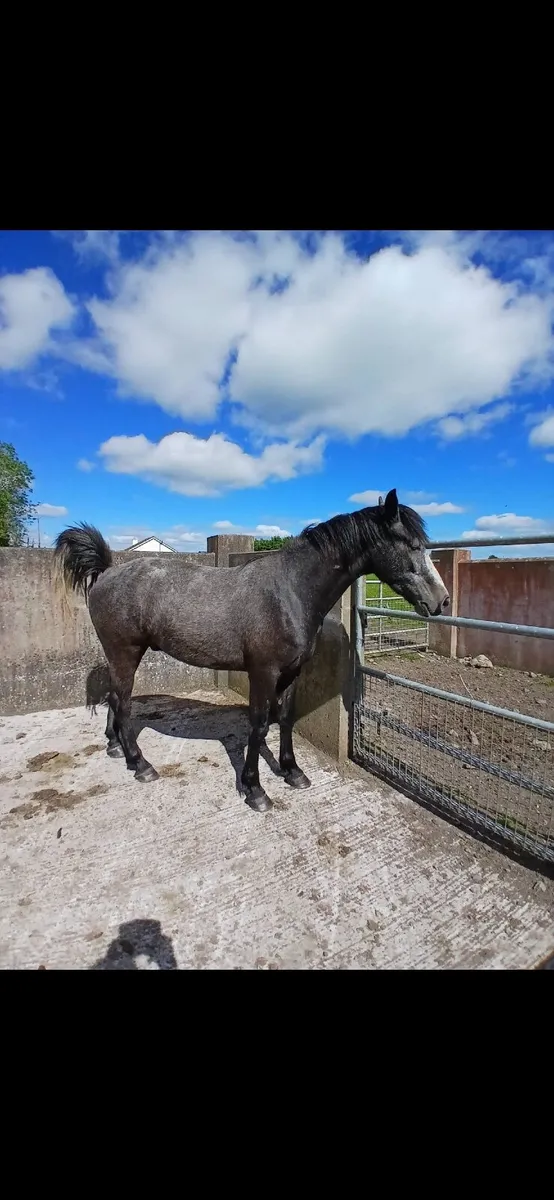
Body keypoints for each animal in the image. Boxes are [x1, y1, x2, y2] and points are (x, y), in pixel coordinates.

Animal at [54, 488, 449, 812]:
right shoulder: (263, 673)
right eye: (410, 543)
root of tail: (107, 571)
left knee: (115, 698)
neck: (289, 592)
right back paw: (140, 764)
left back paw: (115, 747)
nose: (441, 601)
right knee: (122, 701)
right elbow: (258, 727)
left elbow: (285, 718)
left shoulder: (292, 672)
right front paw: (255, 789)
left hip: (119, 656)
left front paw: (292, 772)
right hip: (125, 653)